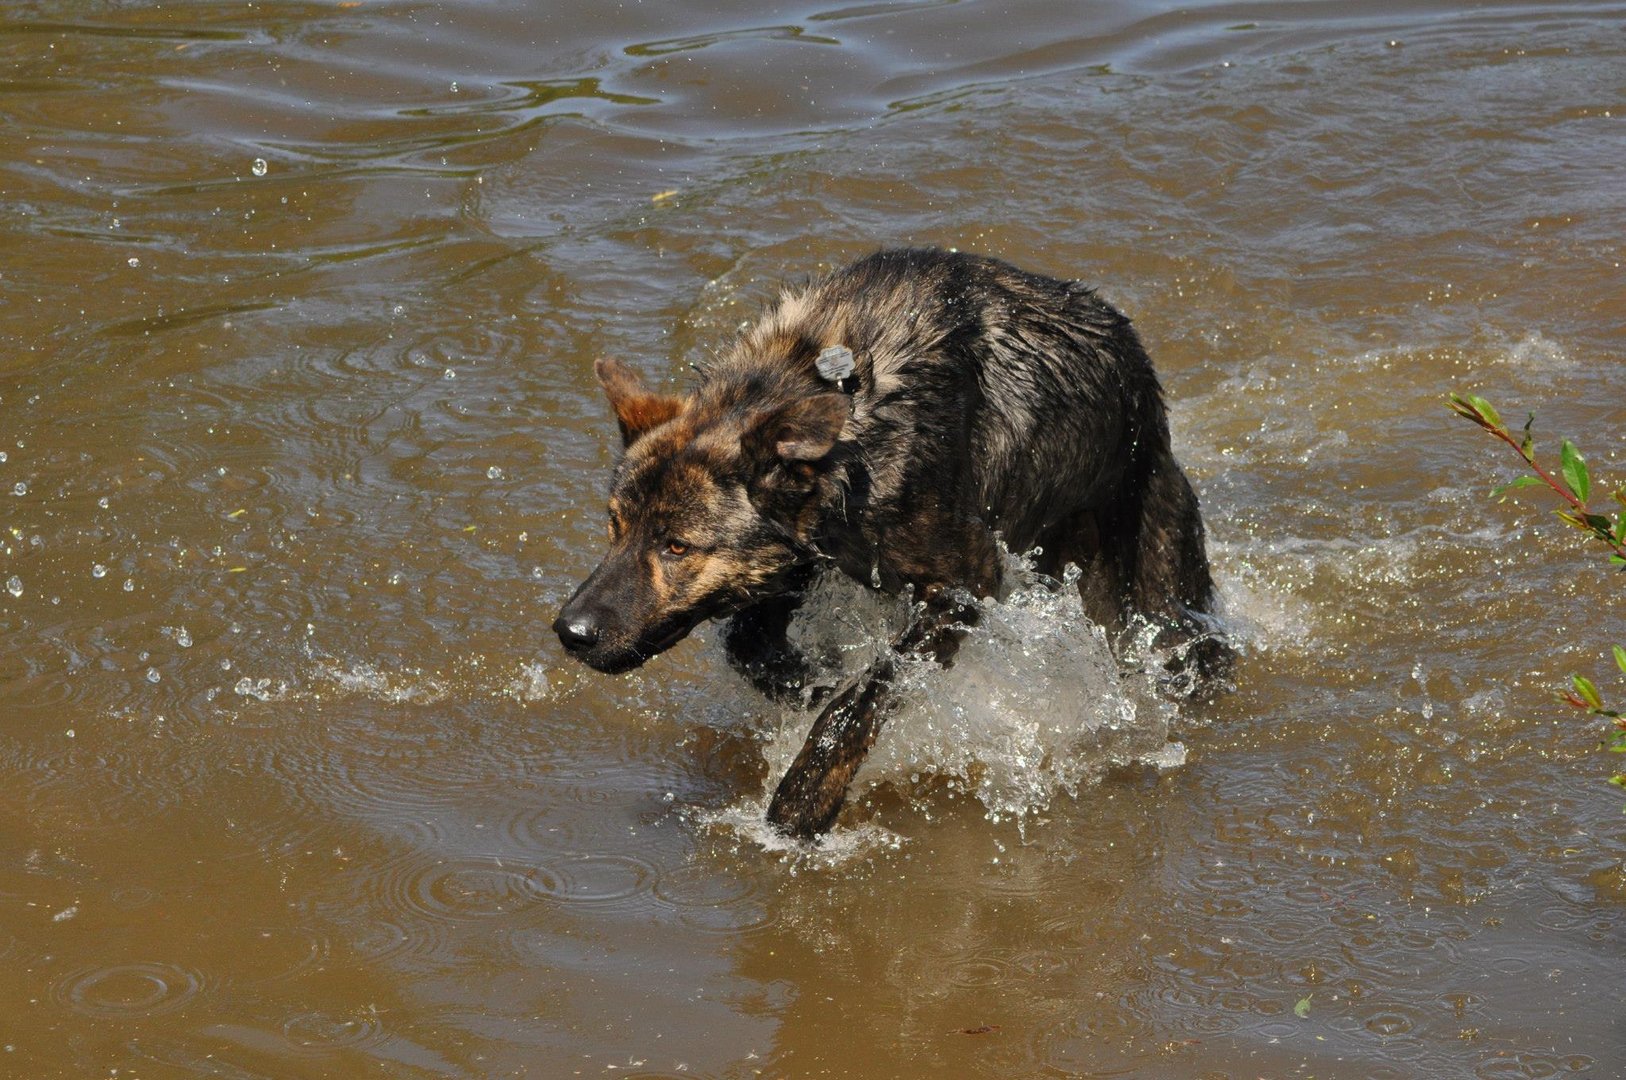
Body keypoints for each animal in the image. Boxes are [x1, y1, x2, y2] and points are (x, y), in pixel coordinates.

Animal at [552, 248, 1222, 839]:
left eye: (677, 547)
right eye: (614, 526)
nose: (569, 631)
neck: (842, 400)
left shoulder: (963, 589)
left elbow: (862, 698)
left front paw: (802, 802)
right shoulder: (805, 559)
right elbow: (750, 647)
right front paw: (807, 680)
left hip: (1155, 609)